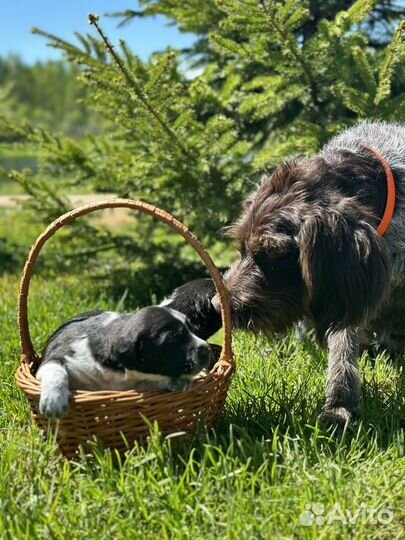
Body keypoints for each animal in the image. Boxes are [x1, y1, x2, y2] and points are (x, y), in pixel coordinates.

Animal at [219, 122, 404, 426]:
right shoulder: (344, 293)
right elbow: (342, 344)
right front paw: (339, 405)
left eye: (275, 253)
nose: (218, 306)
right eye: (242, 248)